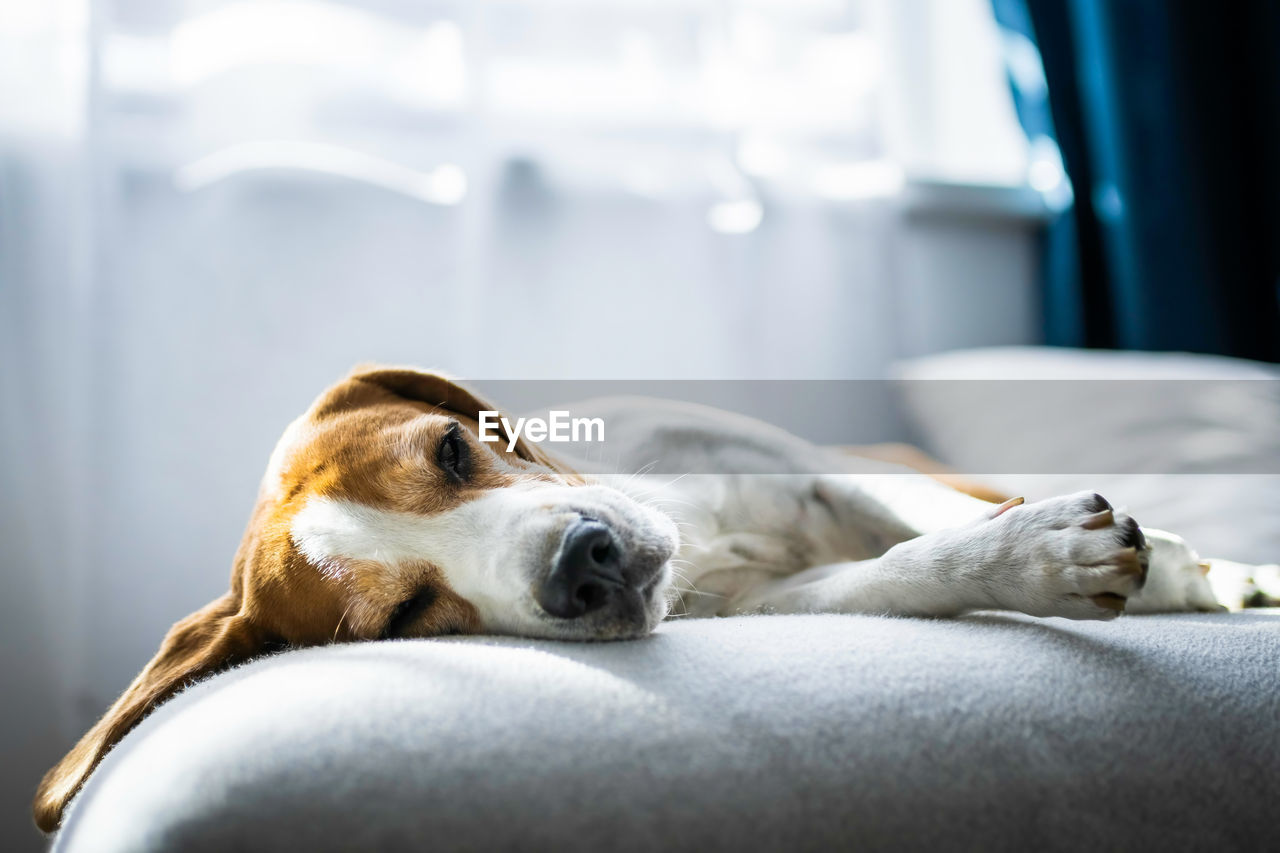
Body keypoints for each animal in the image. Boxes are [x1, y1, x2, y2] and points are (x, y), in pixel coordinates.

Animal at [32, 361, 1228, 824]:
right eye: (403, 619)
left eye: (455, 448)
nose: (586, 561)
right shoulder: (777, 603)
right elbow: (905, 568)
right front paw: (1044, 558)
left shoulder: (806, 465)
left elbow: (920, 520)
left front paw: (1145, 559)